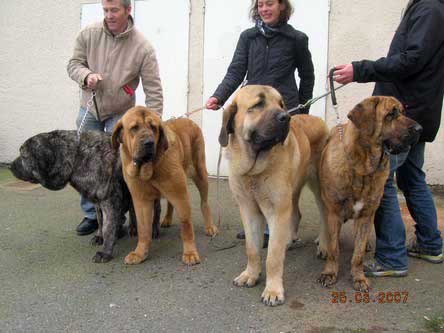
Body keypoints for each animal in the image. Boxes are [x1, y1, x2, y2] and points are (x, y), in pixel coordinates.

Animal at [10, 130, 160, 262]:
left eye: (23, 155)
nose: (10, 166)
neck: (76, 157)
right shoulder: (97, 202)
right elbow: (100, 221)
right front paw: (100, 237)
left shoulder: (109, 201)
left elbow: (108, 227)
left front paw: (105, 252)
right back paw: (133, 228)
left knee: (156, 211)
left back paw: (154, 230)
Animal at [112, 106, 218, 264]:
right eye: (134, 128)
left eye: (153, 127)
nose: (149, 143)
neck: (148, 168)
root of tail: (189, 120)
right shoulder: (141, 200)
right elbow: (143, 229)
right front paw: (140, 252)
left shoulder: (180, 195)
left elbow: (186, 225)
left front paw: (190, 253)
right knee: (169, 203)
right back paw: (167, 219)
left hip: (200, 173)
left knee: (204, 202)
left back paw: (210, 226)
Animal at [318, 96, 422, 290]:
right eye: (391, 114)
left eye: (402, 112)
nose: (420, 129)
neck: (362, 167)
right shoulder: (334, 213)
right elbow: (334, 249)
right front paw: (329, 273)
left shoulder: (366, 215)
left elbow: (358, 255)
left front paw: (359, 277)